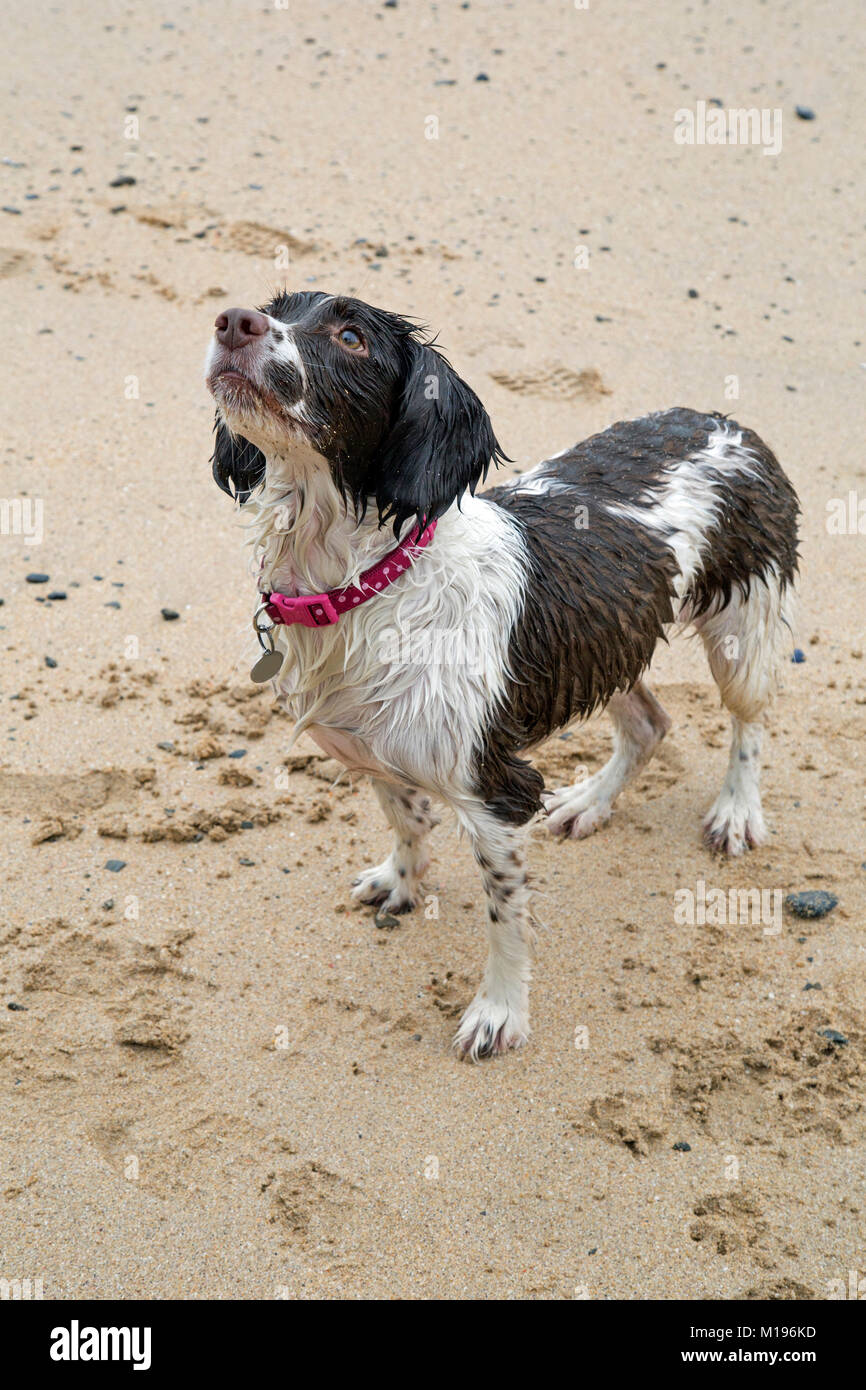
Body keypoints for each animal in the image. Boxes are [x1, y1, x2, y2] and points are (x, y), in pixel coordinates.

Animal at [202, 287, 800, 1056]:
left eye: (351, 337)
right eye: (276, 305)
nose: (233, 321)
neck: (369, 583)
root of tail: (728, 423)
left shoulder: (495, 790)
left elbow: (505, 915)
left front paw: (499, 1012)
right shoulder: (373, 749)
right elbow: (406, 819)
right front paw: (402, 880)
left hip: (740, 624)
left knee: (750, 719)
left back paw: (735, 811)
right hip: (607, 638)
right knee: (649, 723)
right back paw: (590, 801)